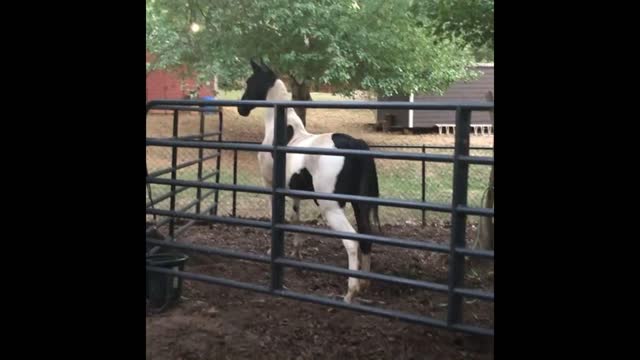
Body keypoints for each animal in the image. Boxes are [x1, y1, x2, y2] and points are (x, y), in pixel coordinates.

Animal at [239, 59, 380, 304]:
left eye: (250, 81)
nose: (242, 108)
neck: (283, 129)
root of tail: (355, 144)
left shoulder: (270, 186)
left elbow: (278, 218)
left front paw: (273, 251)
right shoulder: (293, 192)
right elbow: (295, 219)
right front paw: (295, 253)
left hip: (332, 209)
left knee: (352, 242)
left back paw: (350, 292)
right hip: (359, 205)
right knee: (365, 237)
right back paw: (364, 283)